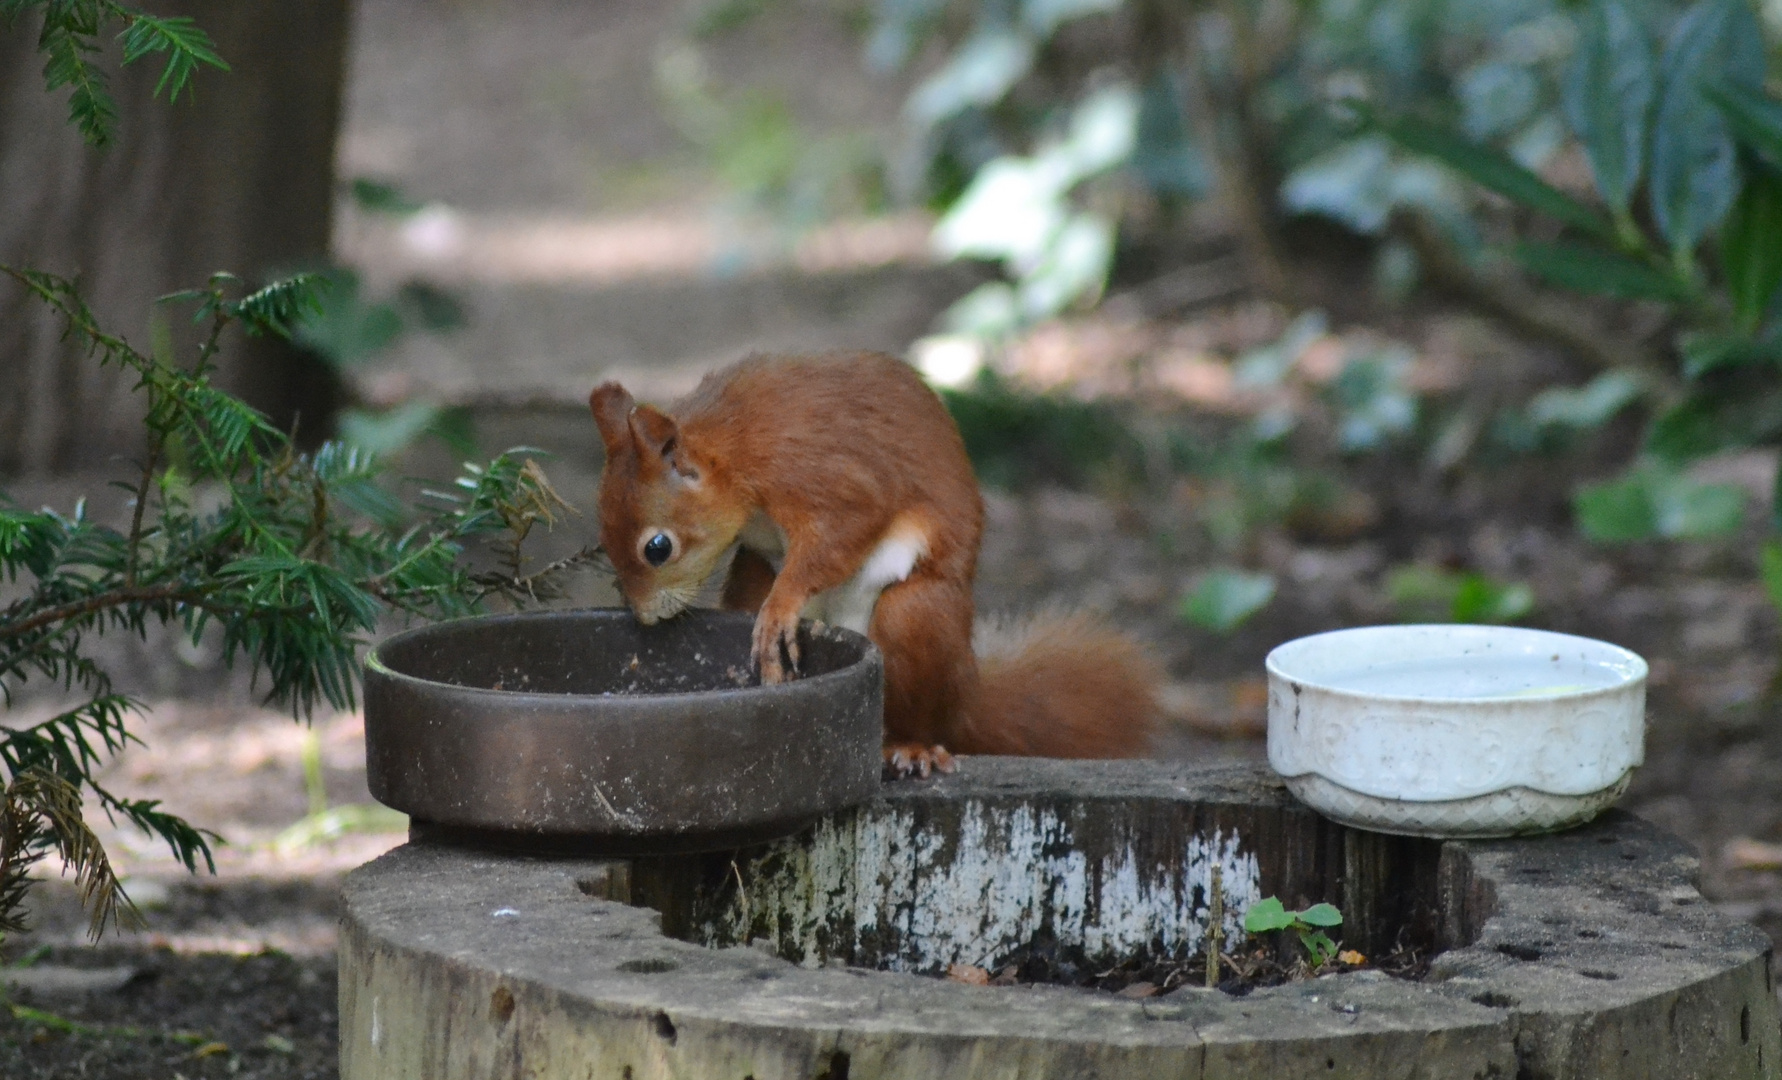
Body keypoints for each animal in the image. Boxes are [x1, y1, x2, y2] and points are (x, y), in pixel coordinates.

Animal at [591, 356, 1161, 777]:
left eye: (657, 547)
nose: (643, 617)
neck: (731, 452)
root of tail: (965, 696)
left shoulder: (819, 472)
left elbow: (843, 530)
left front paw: (781, 606)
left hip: (915, 623)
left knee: (913, 694)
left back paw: (910, 748)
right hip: (752, 580)